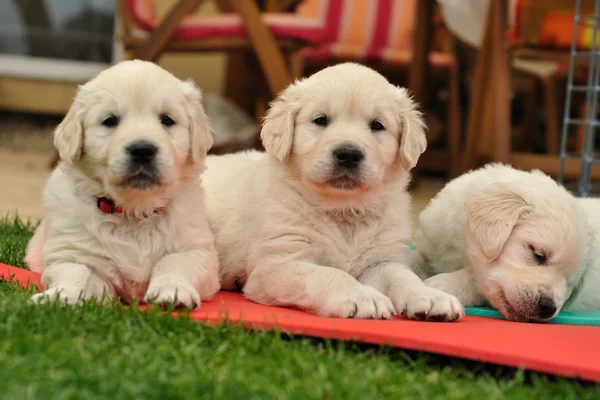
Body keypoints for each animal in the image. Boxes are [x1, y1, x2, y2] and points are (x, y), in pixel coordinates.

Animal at [25, 60, 220, 310]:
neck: (133, 214)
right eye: (110, 121)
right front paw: (61, 297)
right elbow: (77, 274)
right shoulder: (71, 253)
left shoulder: (197, 249)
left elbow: (174, 262)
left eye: (167, 120)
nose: (142, 150)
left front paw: (173, 291)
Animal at [202, 63, 464, 322]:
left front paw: (430, 297)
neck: (344, 211)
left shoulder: (382, 259)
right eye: (320, 120)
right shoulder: (280, 262)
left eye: (377, 125)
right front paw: (363, 296)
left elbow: (403, 276)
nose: (348, 154)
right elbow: (330, 274)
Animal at [412, 164, 596, 324]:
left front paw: (435, 285)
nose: (548, 307)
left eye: (570, 282)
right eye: (538, 254)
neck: (460, 251)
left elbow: (473, 278)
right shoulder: (431, 242)